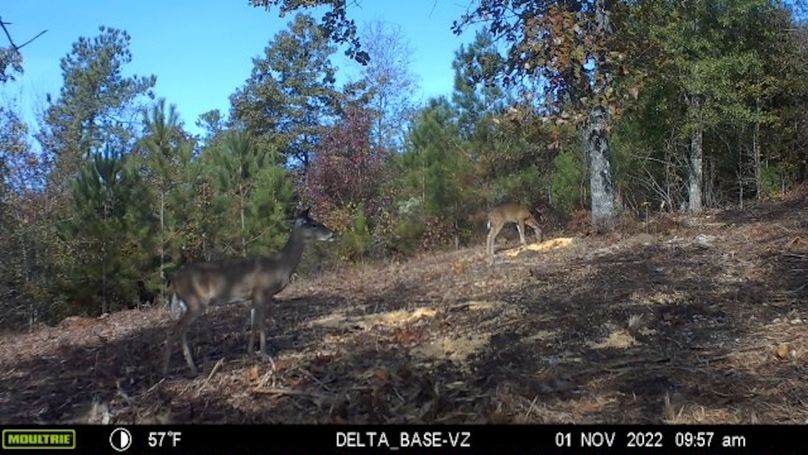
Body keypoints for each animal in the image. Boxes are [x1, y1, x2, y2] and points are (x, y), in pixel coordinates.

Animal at [162, 208, 335, 376]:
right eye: (314, 224)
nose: (333, 234)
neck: (280, 265)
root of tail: (174, 280)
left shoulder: (253, 296)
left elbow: (253, 323)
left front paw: (251, 352)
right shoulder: (262, 292)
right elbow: (261, 323)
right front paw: (264, 354)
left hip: (186, 304)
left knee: (181, 331)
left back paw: (191, 367)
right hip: (196, 301)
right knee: (174, 332)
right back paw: (168, 370)